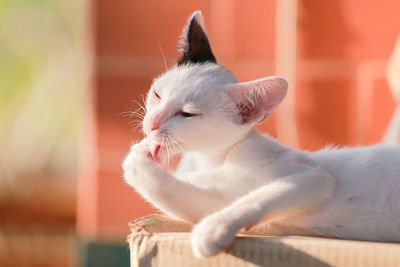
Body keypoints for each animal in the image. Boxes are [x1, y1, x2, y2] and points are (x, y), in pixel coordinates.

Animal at [122, 11, 400, 260]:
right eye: (157, 94)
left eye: (187, 114)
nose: (152, 124)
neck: (213, 158)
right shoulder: (212, 198)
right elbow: (174, 194)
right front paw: (139, 158)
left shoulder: (314, 178)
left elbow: (256, 198)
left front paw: (212, 229)